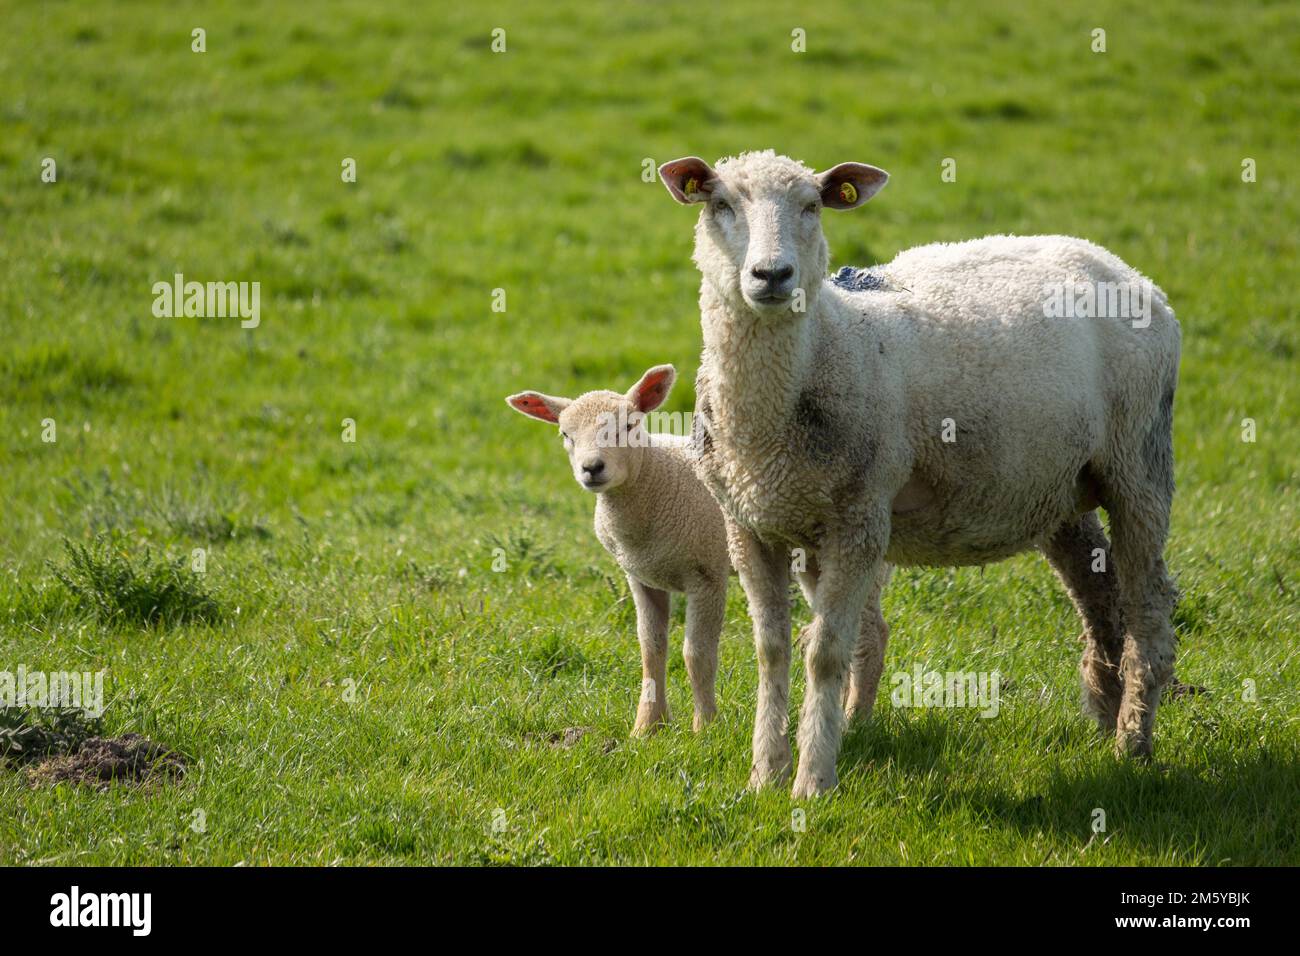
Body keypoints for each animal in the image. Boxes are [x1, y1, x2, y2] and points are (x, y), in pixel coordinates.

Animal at [506, 365, 731, 735]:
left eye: (628, 426)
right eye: (566, 434)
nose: (592, 468)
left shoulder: (708, 572)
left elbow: (697, 654)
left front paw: (706, 728)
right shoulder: (643, 577)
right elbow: (651, 650)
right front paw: (647, 726)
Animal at [658, 149, 1181, 798]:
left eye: (811, 206)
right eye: (721, 204)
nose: (772, 275)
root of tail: (1121, 267)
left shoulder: (859, 518)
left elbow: (825, 653)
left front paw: (812, 781)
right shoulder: (749, 525)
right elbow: (771, 650)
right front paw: (764, 773)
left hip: (1140, 462)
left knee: (1149, 608)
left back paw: (1133, 743)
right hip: (1058, 486)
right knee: (1098, 594)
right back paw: (1108, 715)